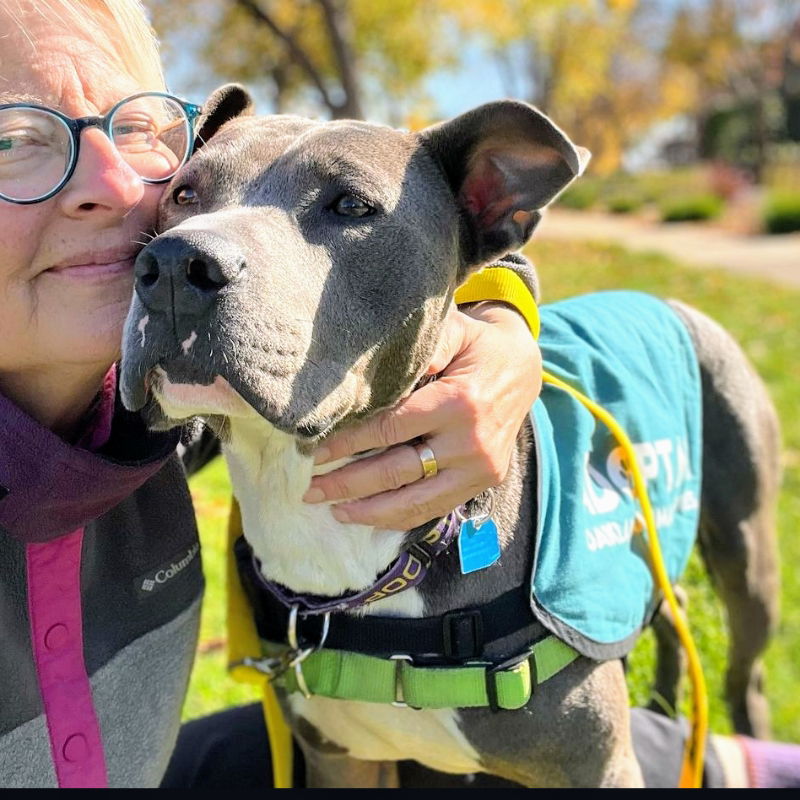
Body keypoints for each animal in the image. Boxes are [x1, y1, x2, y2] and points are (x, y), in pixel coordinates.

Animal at [120, 87, 780, 788]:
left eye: (351, 206)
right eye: (184, 193)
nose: (173, 264)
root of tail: (666, 301)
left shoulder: (597, 768)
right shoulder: (338, 759)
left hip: (747, 553)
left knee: (744, 667)